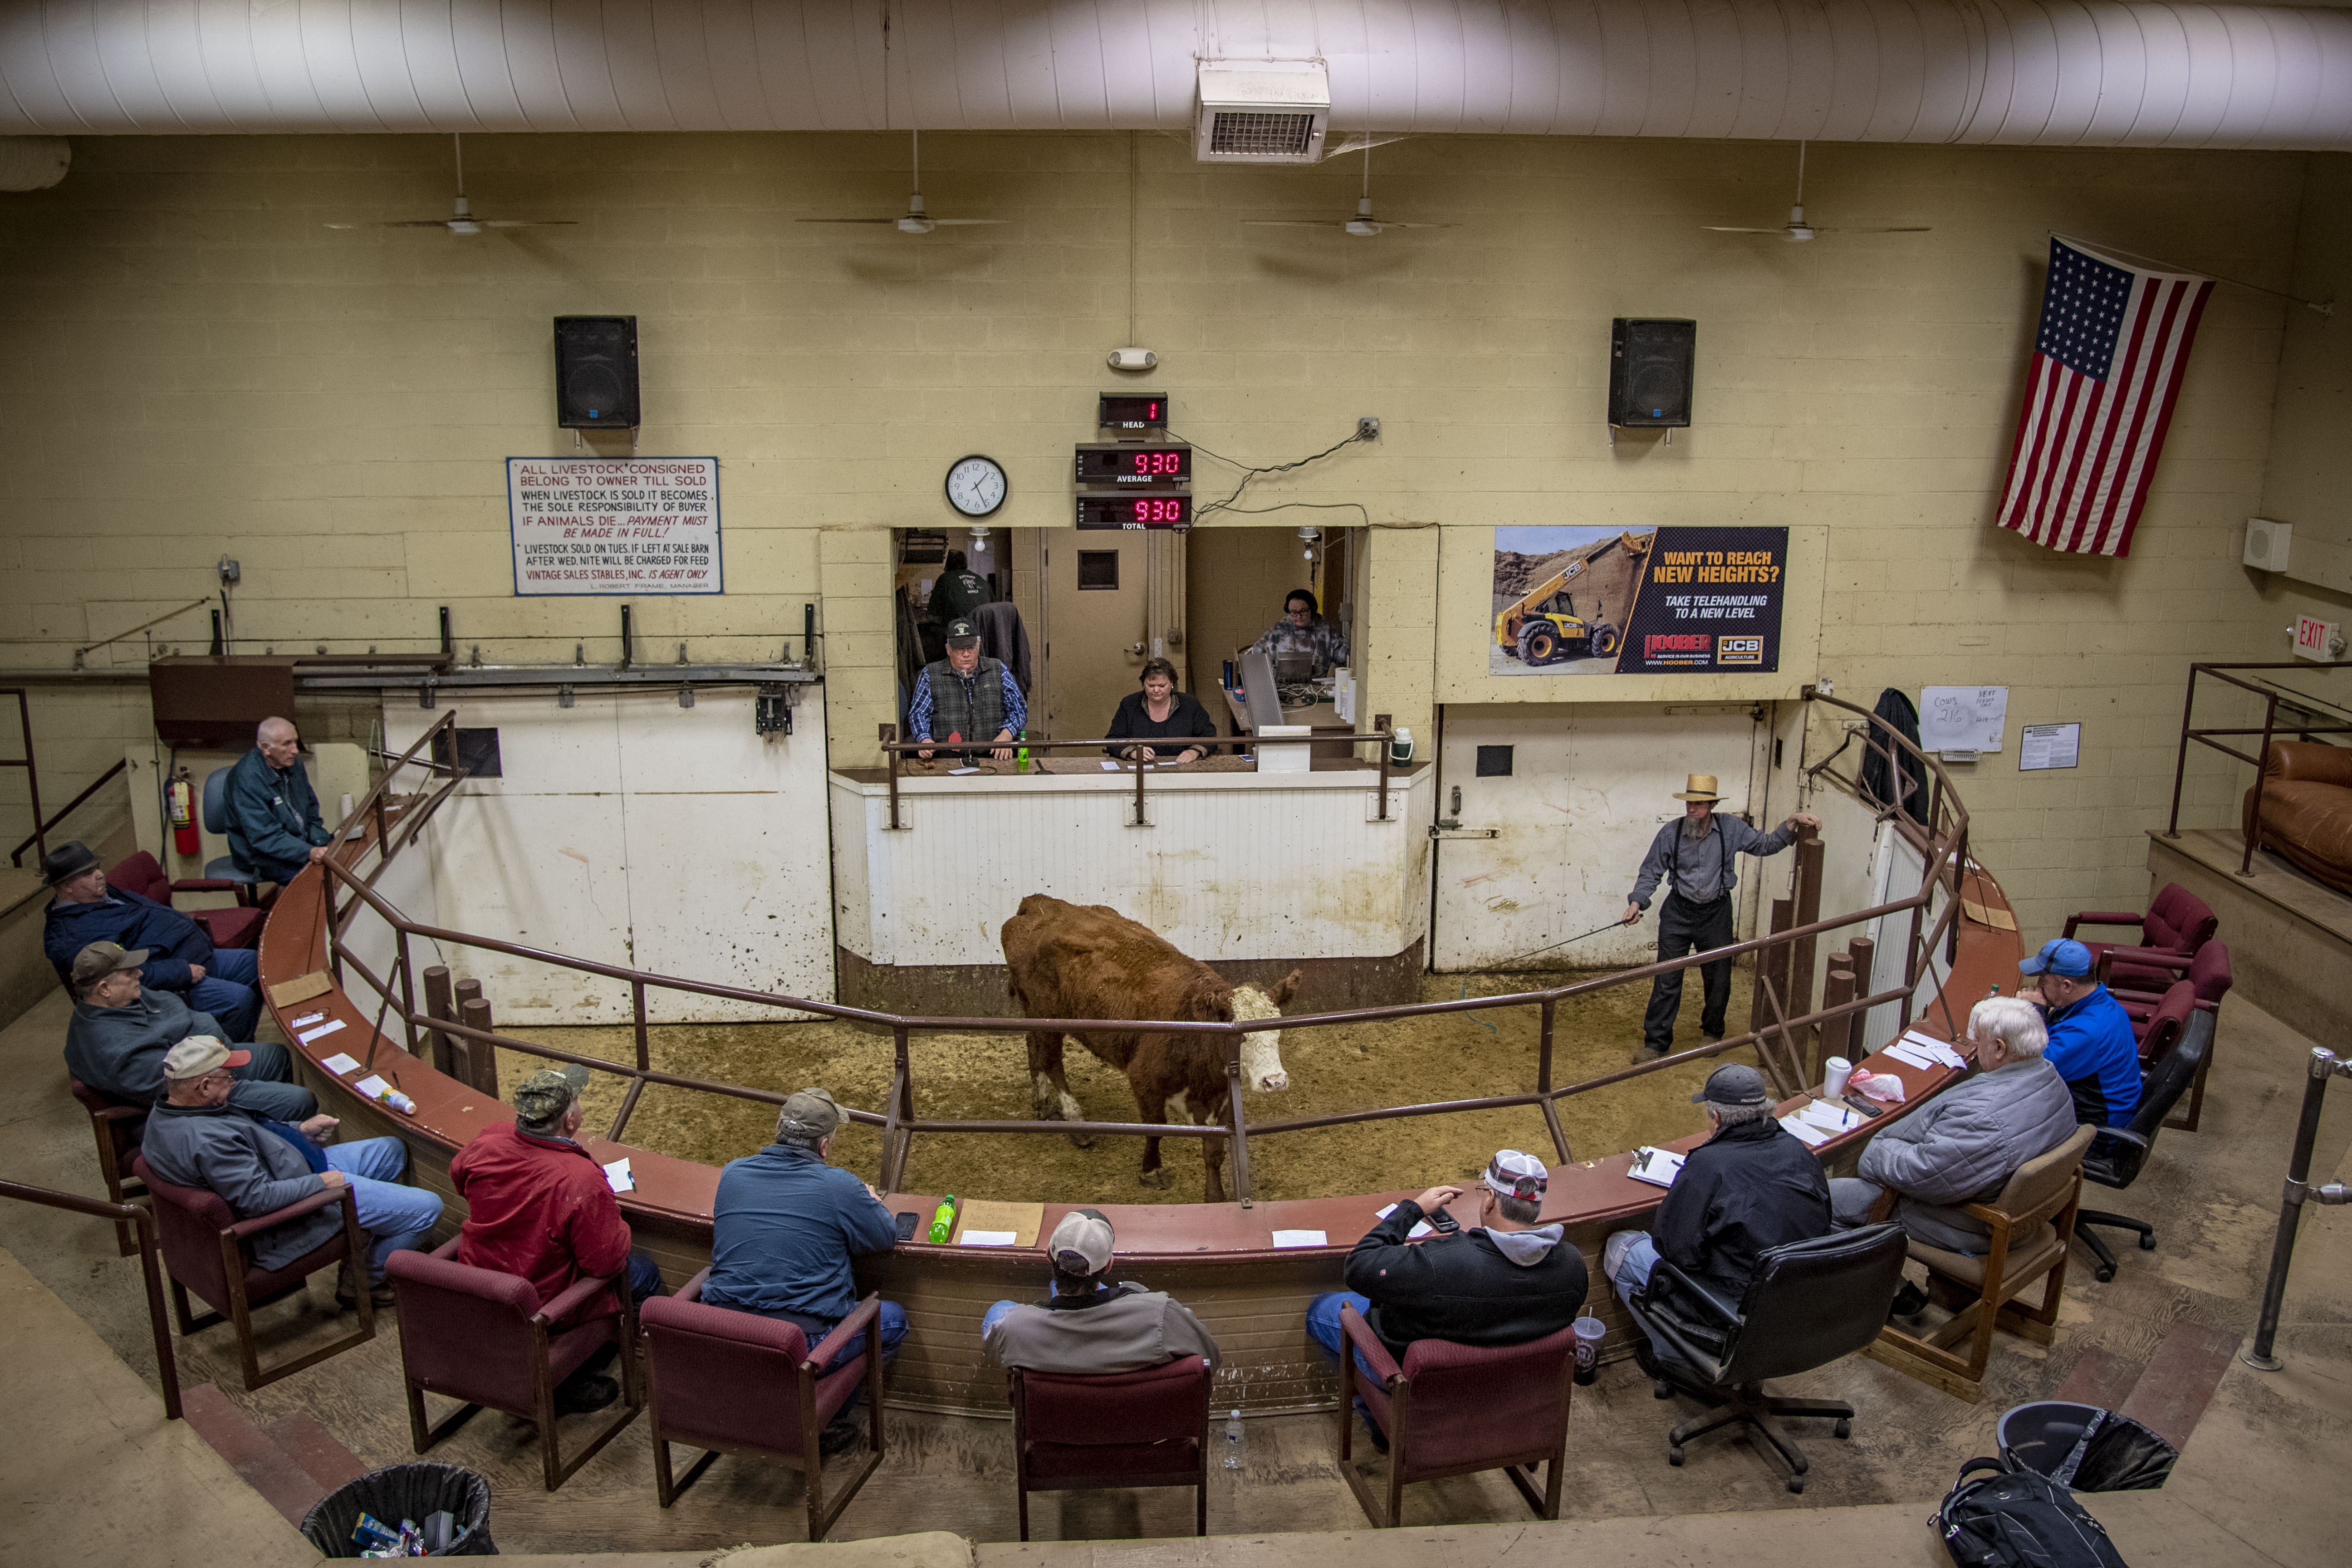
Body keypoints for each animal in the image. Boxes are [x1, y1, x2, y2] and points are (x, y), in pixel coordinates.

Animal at [1002, 893, 1308, 1203]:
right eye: (1240, 1038)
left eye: (1278, 1030)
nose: (1275, 1081)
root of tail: (1040, 903)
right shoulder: (1144, 1079)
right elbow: (1155, 1127)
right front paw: (1151, 1170)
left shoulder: (1221, 1098)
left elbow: (1214, 1151)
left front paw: (1215, 1196)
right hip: (1047, 1016)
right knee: (1052, 1060)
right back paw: (1075, 1120)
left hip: (1033, 1015)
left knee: (1035, 1049)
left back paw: (1043, 1106)